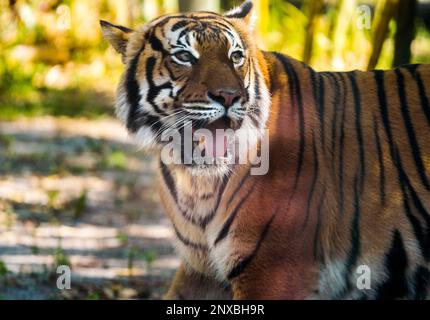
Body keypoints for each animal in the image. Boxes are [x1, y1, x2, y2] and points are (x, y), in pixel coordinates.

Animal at [101, 0, 430, 300]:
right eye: (184, 56)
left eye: (235, 56)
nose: (229, 96)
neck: (195, 181)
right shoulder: (201, 269)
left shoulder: (274, 271)